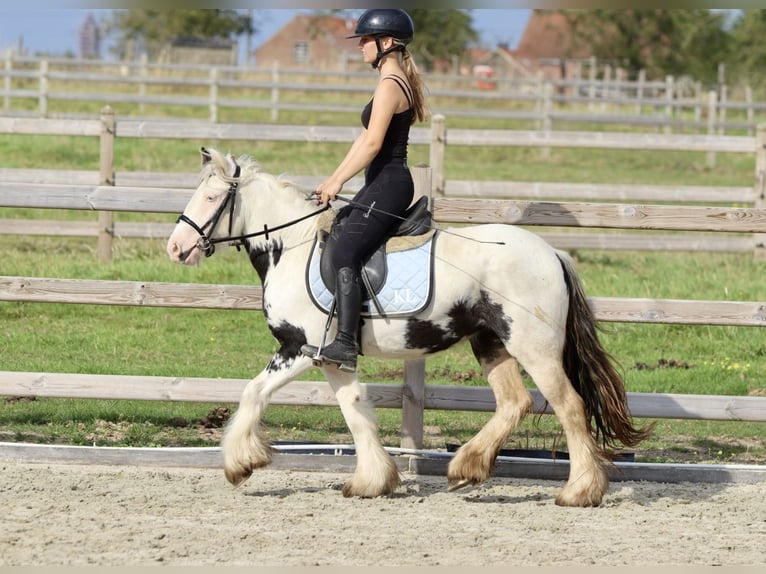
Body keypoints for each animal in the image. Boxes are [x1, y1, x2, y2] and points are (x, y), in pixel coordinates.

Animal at [168, 147, 656, 508]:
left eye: (210, 199)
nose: (176, 248)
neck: (291, 245)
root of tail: (553, 253)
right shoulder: (332, 359)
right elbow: (355, 410)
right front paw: (372, 481)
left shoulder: (300, 347)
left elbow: (254, 393)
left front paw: (240, 463)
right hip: (490, 341)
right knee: (513, 402)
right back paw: (466, 468)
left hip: (533, 346)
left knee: (569, 406)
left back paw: (579, 491)